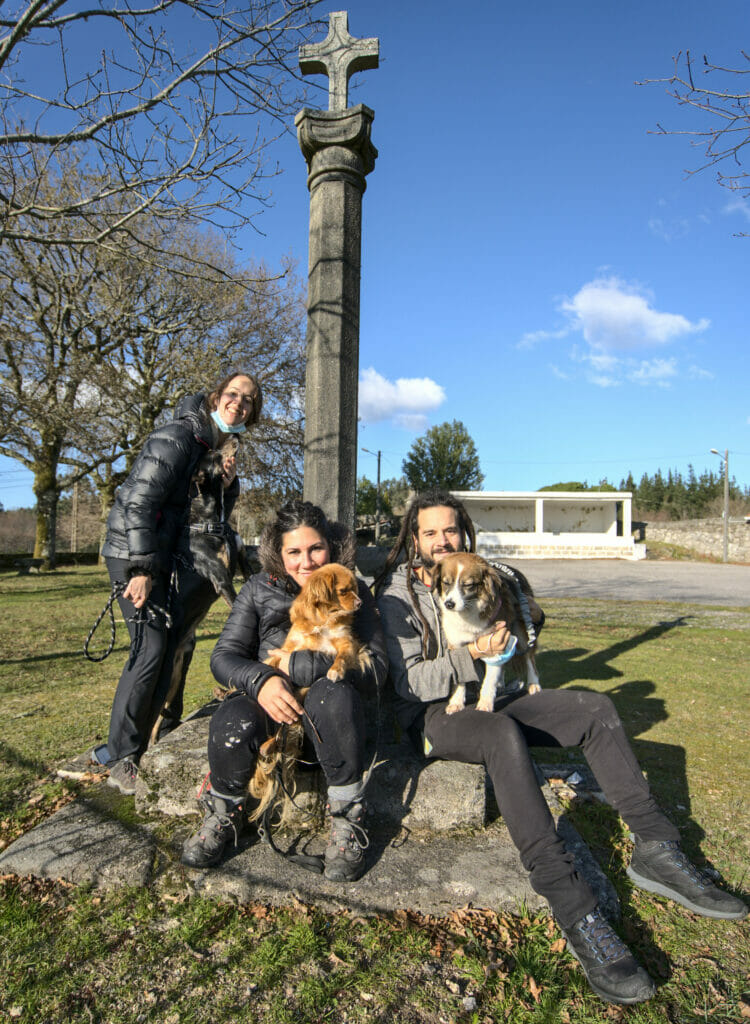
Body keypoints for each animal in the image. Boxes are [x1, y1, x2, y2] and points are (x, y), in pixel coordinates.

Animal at [430, 552, 540, 712]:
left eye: (468, 585)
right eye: (446, 582)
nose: (449, 604)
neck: (468, 611)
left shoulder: (495, 643)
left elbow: (489, 680)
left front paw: (485, 703)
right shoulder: (456, 644)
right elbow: (460, 674)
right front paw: (457, 702)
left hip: (521, 631)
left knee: (529, 657)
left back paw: (534, 684)